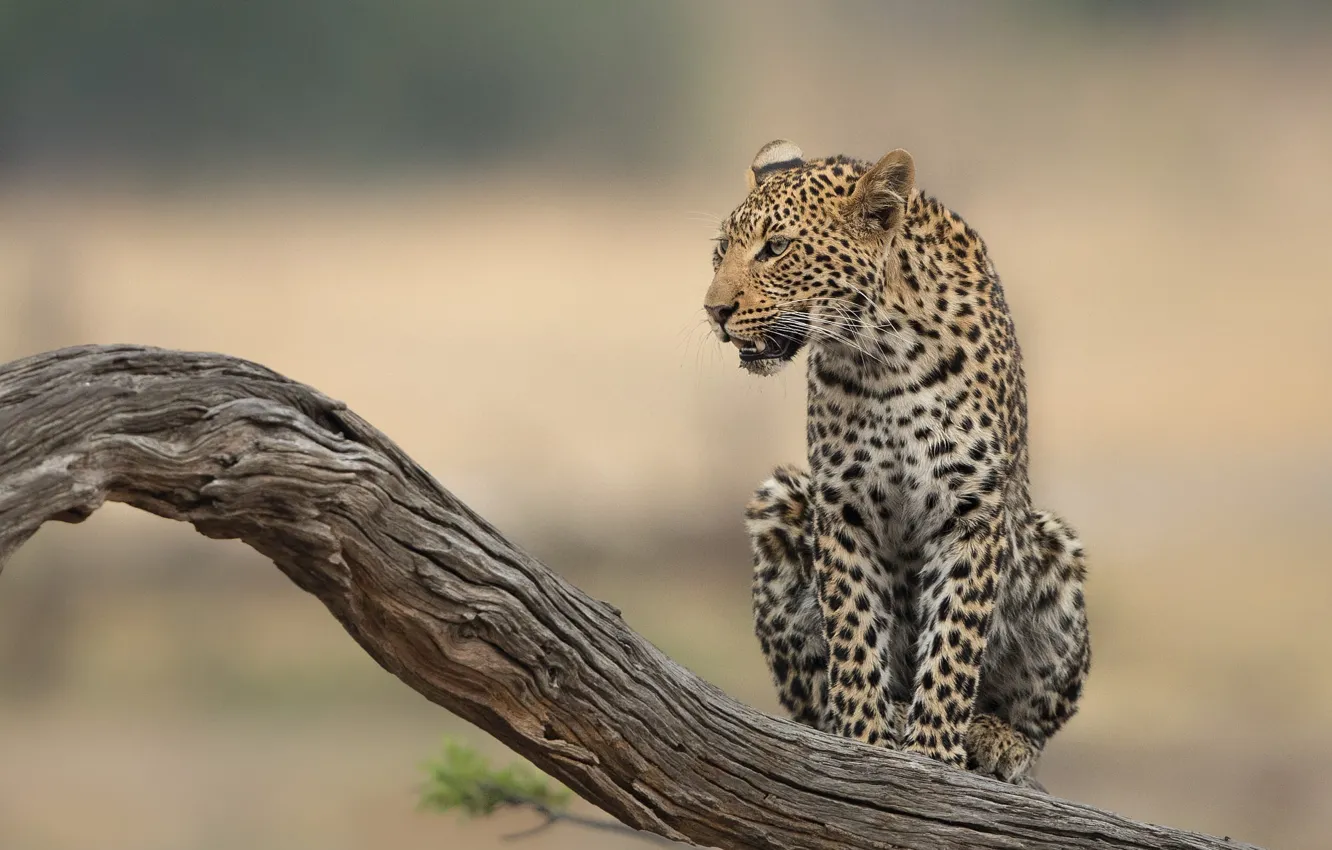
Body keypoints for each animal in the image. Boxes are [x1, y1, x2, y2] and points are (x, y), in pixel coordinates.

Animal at [703, 140, 1090, 787]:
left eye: (776, 248)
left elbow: (955, 640)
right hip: (781, 502)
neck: (880, 355)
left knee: (1032, 719)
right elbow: (854, 631)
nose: (714, 311)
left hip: (1054, 552)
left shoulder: (970, 510)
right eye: (719, 251)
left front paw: (933, 750)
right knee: (812, 692)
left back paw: (994, 737)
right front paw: (866, 737)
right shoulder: (842, 507)